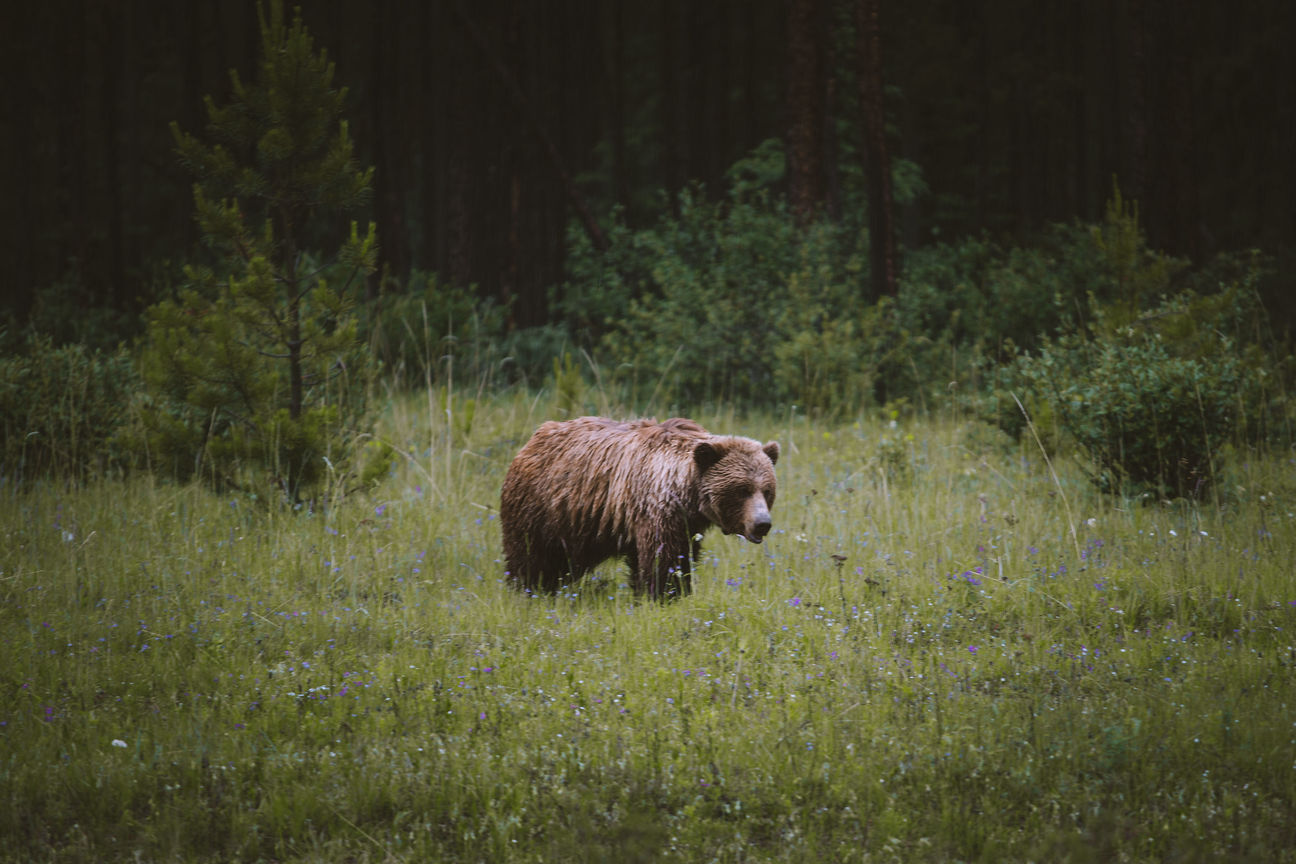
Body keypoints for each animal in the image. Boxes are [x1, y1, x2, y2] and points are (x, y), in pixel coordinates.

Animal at [495, 414, 777, 598]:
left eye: (766, 490)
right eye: (742, 490)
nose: (762, 524)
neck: (688, 492)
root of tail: (533, 439)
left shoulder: (687, 523)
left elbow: (681, 555)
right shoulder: (658, 507)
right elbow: (663, 556)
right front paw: (665, 594)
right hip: (541, 505)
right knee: (530, 552)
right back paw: (527, 587)